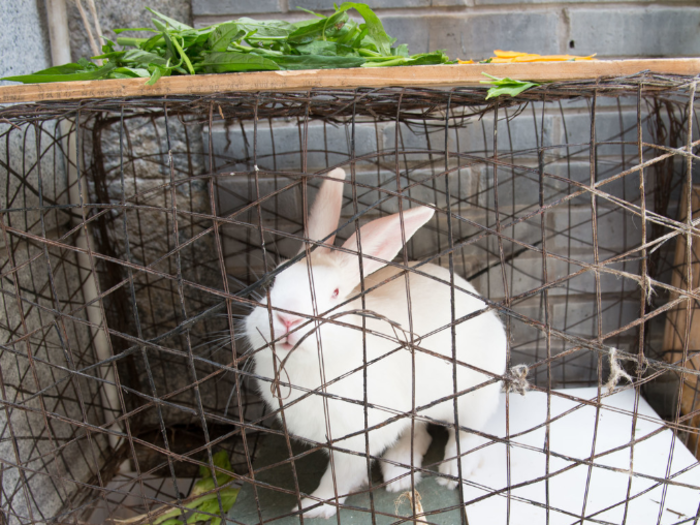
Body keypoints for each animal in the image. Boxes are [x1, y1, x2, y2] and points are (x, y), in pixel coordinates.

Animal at [247, 167, 508, 516]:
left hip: (473, 396)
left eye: (334, 294)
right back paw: (398, 474)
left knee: (464, 434)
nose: (287, 320)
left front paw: (316, 506)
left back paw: (451, 472)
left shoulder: (358, 438)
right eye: (272, 283)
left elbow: (340, 475)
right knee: (418, 433)